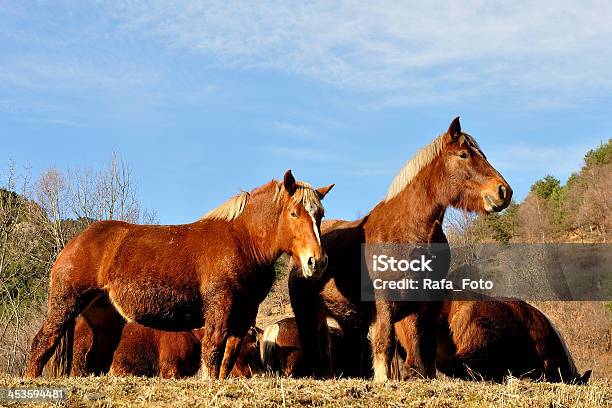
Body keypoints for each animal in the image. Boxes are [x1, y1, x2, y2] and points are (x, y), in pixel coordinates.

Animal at [26, 170, 334, 380]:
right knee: (42, 343)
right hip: (66, 303)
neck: (242, 241)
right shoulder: (219, 308)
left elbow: (227, 358)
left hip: (105, 317)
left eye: (319, 214)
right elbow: (212, 352)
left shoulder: (244, 314)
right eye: (294, 213)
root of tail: (73, 243)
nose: (316, 262)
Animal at [286, 118, 512, 382]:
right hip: (308, 314)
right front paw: (383, 379)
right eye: (464, 155)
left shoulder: (427, 304)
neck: (407, 231)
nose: (503, 191)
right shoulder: (384, 304)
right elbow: (385, 342)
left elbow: (423, 349)